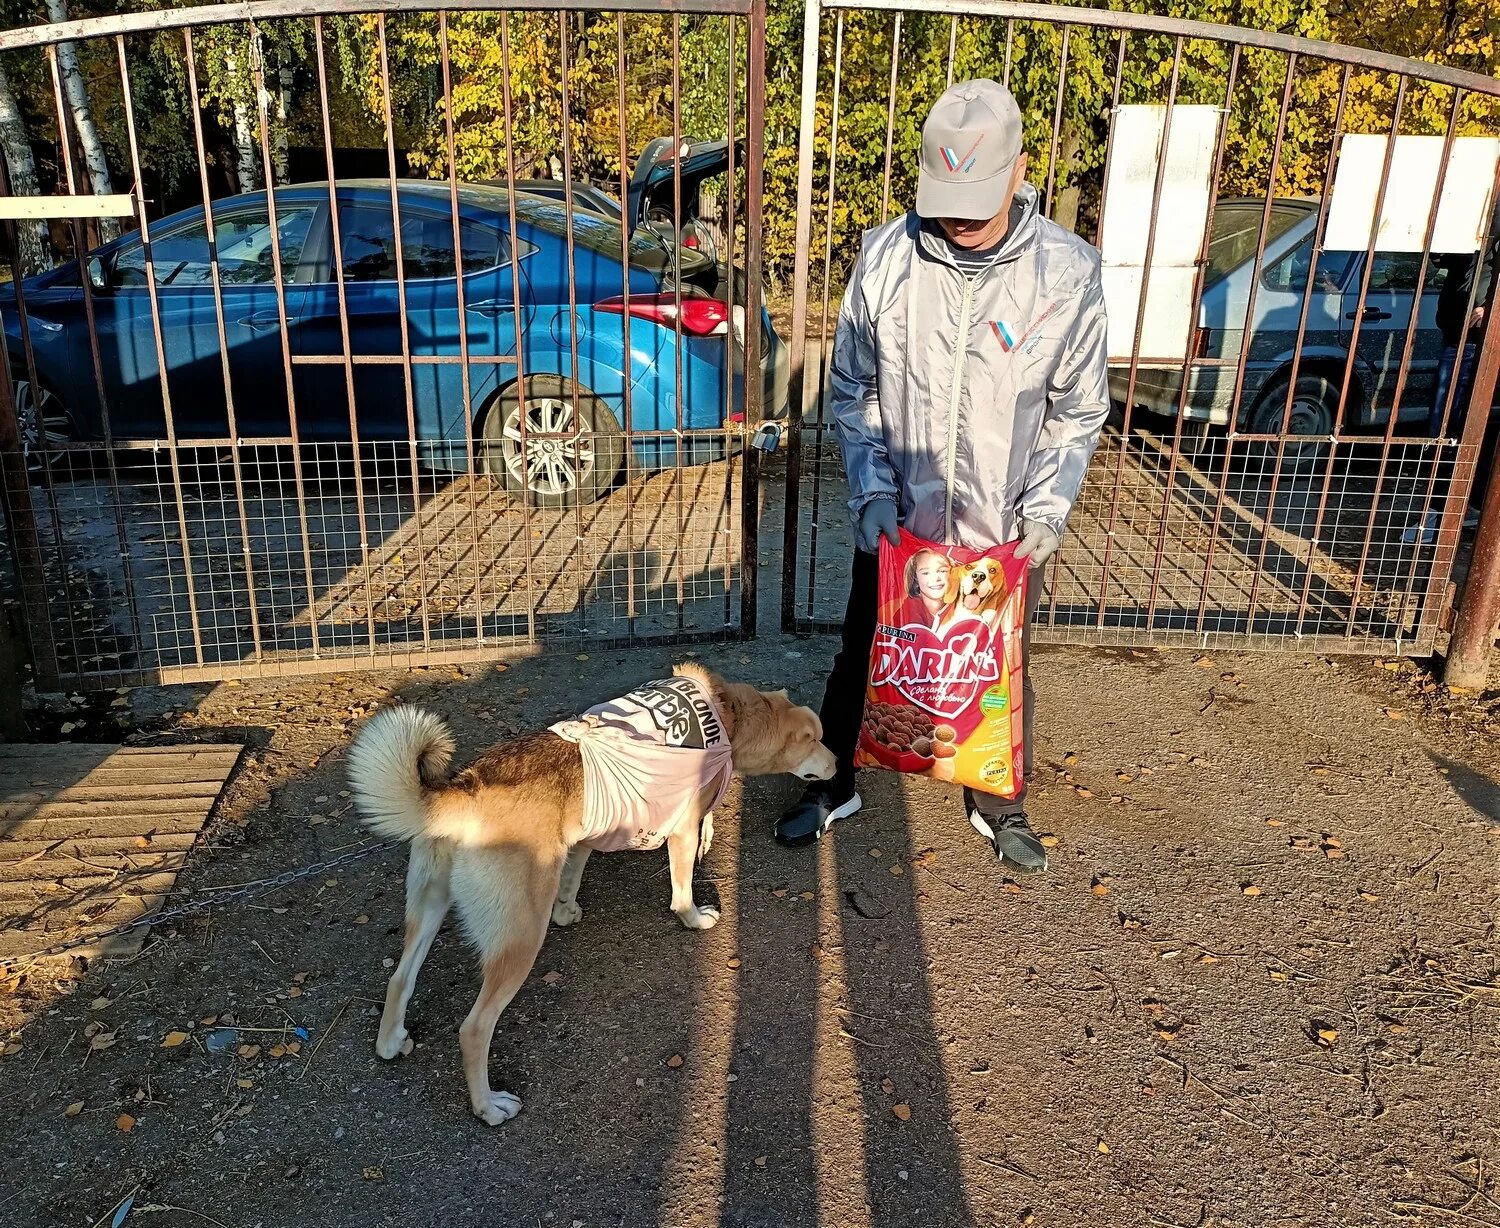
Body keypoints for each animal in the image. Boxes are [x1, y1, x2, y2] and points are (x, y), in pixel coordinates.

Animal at [343, 668, 834, 1127]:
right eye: (816, 741)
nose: (837, 766)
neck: (729, 716)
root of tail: (464, 789)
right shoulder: (680, 830)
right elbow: (682, 891)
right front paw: (693, 917)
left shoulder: (584, 834)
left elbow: (573, 875)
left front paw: (567, 910)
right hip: (520, 940)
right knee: (473, 1029)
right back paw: (489, 1107)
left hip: (427, 909)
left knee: (400, 979)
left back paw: (391, 1042)